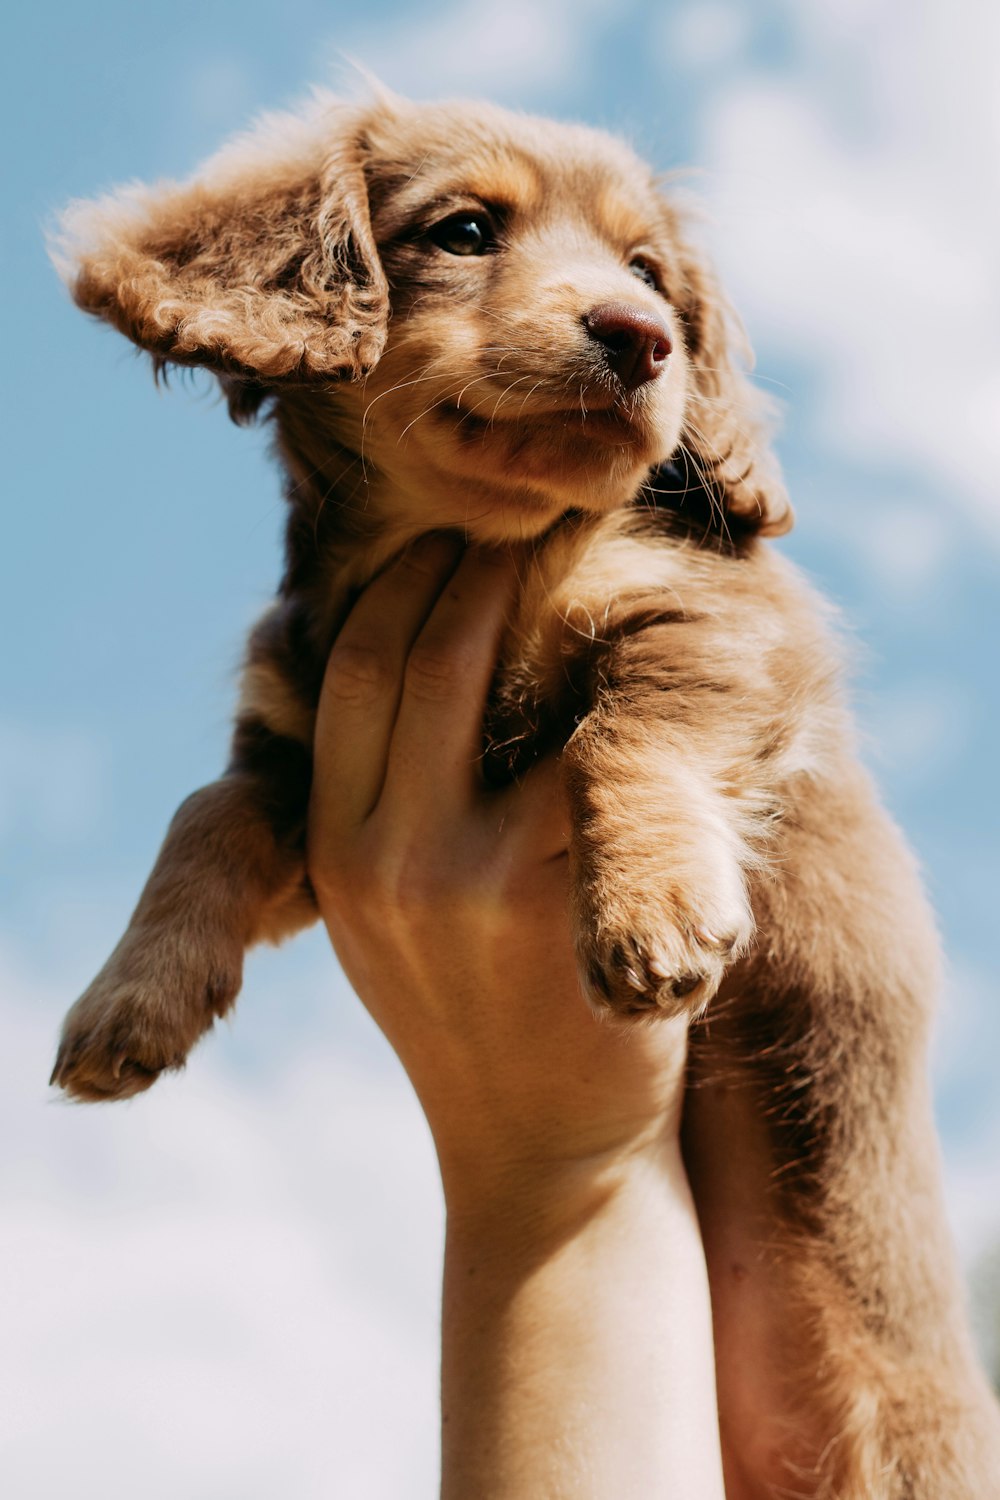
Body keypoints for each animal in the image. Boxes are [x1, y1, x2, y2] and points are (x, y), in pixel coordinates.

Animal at [48, 90, 1000, 1488]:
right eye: (462, 231)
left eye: (651, 274)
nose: (641, 337)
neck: (474, 533)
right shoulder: (299, 755)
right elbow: (202, 814)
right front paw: (128, 999)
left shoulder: (726, 628)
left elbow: (626, 729)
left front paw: (648, 911)